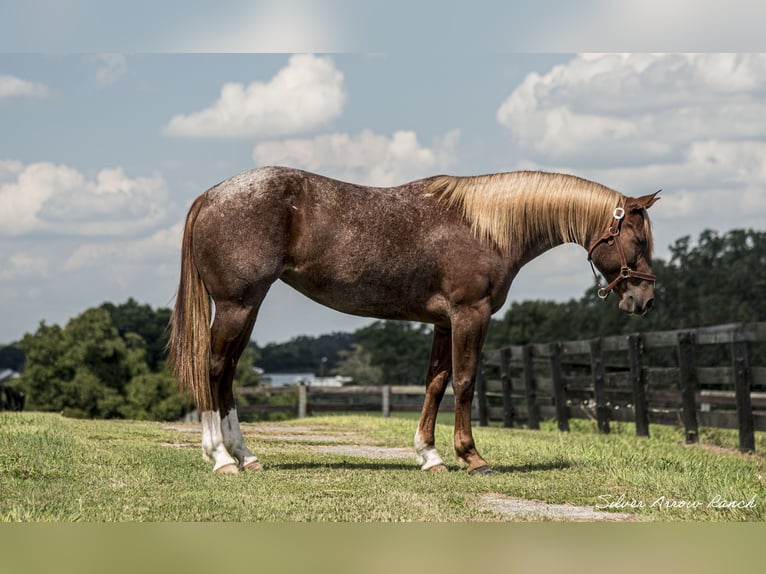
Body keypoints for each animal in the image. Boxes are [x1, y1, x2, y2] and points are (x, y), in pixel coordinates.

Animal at [168, 166, 660, 476]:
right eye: (638, 240)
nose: (645, 299)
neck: (486, 227)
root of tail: (211, 195)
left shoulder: (444, 322)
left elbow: (436, 383)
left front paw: (430, 455)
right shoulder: (470, 315)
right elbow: (465, 381)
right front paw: (471, 457)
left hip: (245, 308)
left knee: (227, 374)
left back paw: (245, 455)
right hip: (236, 305)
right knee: (213, 370)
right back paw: (221, 457)